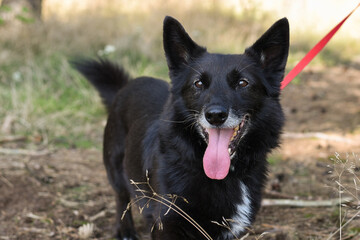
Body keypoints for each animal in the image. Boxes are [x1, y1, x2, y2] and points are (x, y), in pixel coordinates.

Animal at [73, 15, 290, 239]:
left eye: (242, 83)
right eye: (198, 83)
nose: (215, 116)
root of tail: (126, 86)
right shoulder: (167, 222)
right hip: (115, 167)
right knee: (121, 197)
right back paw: (125, 230)